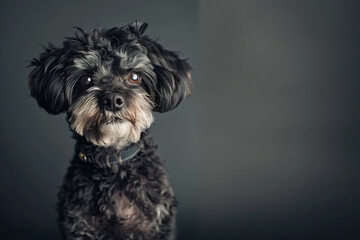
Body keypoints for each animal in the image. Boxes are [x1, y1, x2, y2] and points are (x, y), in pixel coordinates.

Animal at [27, 21, 191, 239]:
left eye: (134, 77)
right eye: (86, 80)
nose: (112, 100)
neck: (113, 161)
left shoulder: (156, 224)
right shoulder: (80, 226)